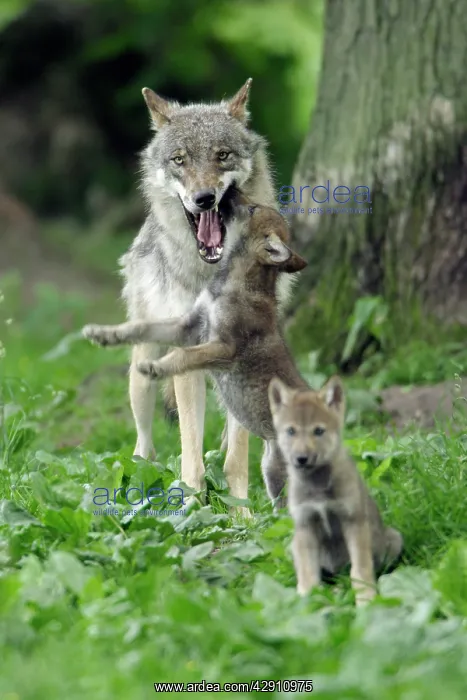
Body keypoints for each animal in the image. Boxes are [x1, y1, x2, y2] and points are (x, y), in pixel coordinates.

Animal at [83, 202, 307, 507]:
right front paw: (104, 334)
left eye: (251, 209)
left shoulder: (222, 347)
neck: (233, 281)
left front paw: (155, 367)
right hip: (273, 470)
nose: (219, 200)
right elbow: (141, 326)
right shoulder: (186, 326)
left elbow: (184, 358)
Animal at [116, 79, 294, 499]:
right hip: (142, 372)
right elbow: (190, 452)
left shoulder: (242, 353)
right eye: (179, 160)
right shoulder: (186, 357)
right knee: (144, 445)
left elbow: (235, 459)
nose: (204, 199)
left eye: (222, 155)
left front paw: (240, 506)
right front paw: (194, 502)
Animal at [268, 375, 403, 605]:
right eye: (291, 431)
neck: (318, 488)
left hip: (393, 540)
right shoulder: (305, 525)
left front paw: (367, 599)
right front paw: (307, 602)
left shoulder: (353, 521)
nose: (301, 458)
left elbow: (360, 570)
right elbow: (308, 576)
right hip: (294, 545)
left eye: (318, 431)